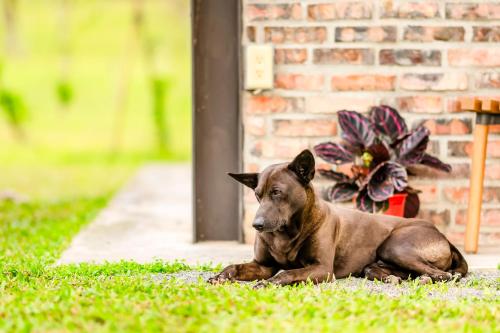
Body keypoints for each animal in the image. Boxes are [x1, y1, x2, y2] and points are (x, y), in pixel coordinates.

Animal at [208, 149, 468, 286]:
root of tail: (443, 237)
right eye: (258, 194)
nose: (257, 225)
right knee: (377, 270)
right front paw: (221, 276)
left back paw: (424, 280)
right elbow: (235, 266)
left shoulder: (322, 269)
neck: (286, 233)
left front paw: (269, 283)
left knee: (442, 274)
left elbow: (287, 272)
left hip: (395, 246)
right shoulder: (262, 265)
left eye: (277, 193)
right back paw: (394, 279)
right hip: (379, 262)